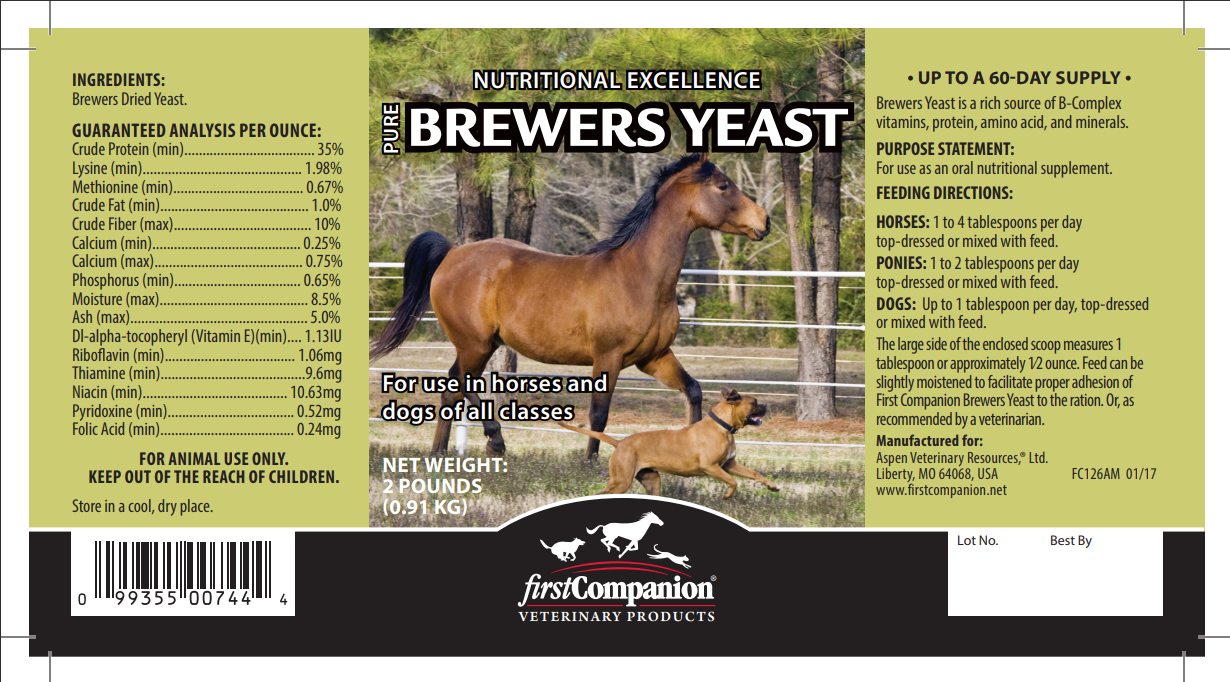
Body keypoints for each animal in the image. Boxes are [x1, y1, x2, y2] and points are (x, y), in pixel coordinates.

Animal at [370, 153, 769, 459]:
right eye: (723, 186)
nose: (764, 221)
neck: (639, 276)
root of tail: (452, 253)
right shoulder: (608, 357)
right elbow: (599, 414)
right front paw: (590, 461)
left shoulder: (654, 357)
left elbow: (694, 390)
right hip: (475, 344)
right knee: (459, 384)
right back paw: (492, 441)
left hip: (480, 345)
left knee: (453, 386)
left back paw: (440, 451)